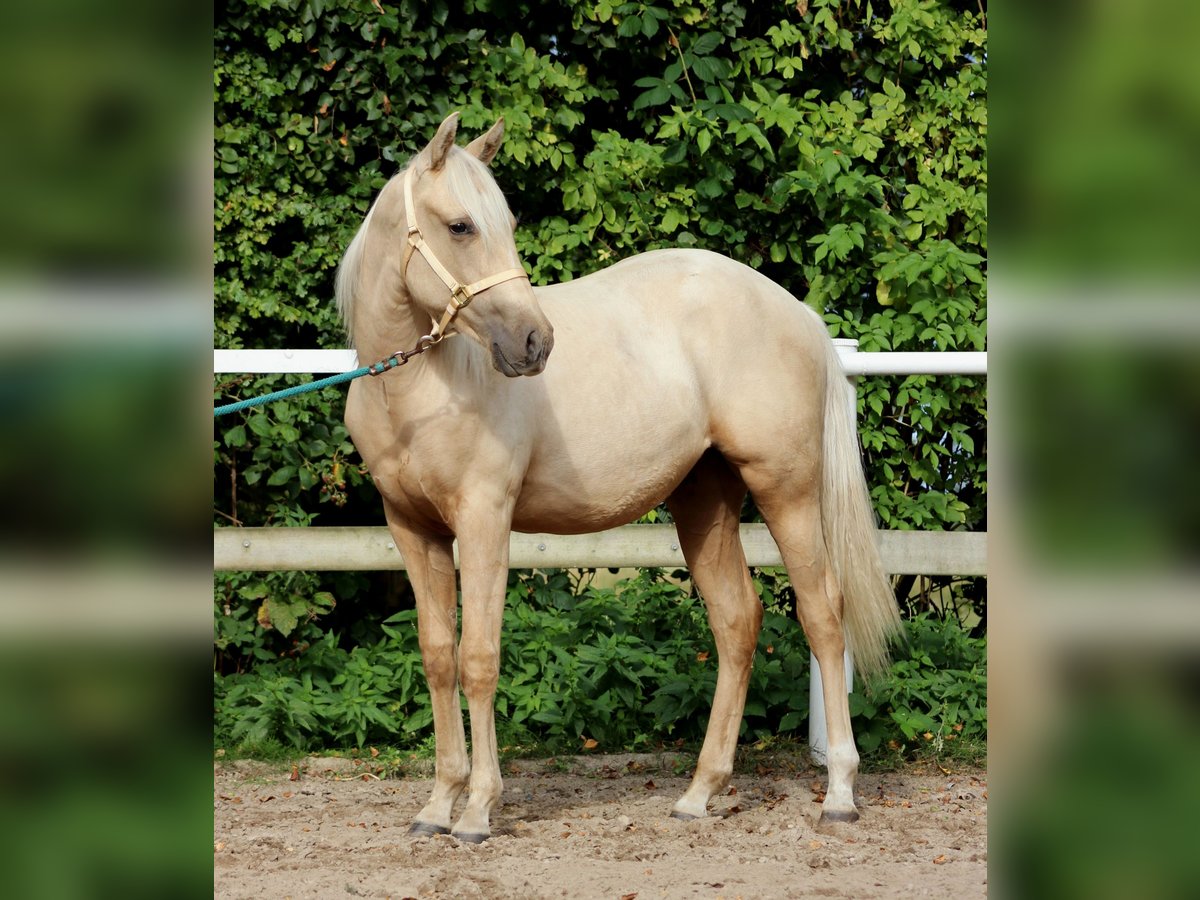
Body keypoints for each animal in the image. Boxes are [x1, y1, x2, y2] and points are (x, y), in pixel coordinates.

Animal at [338, 114, 902, 844]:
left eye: (507, 221)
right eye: (460, 226)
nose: (534, 344)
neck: (419, 388)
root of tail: (798, 314)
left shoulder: (485, 520)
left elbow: (479, 658)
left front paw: (479, 810)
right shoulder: (412, 528)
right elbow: (438, 656)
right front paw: (437, 806)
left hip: (788, 491)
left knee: (822, 615)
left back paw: (838, 791)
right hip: (704, 502)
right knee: (736, 621)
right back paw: (700, 792)